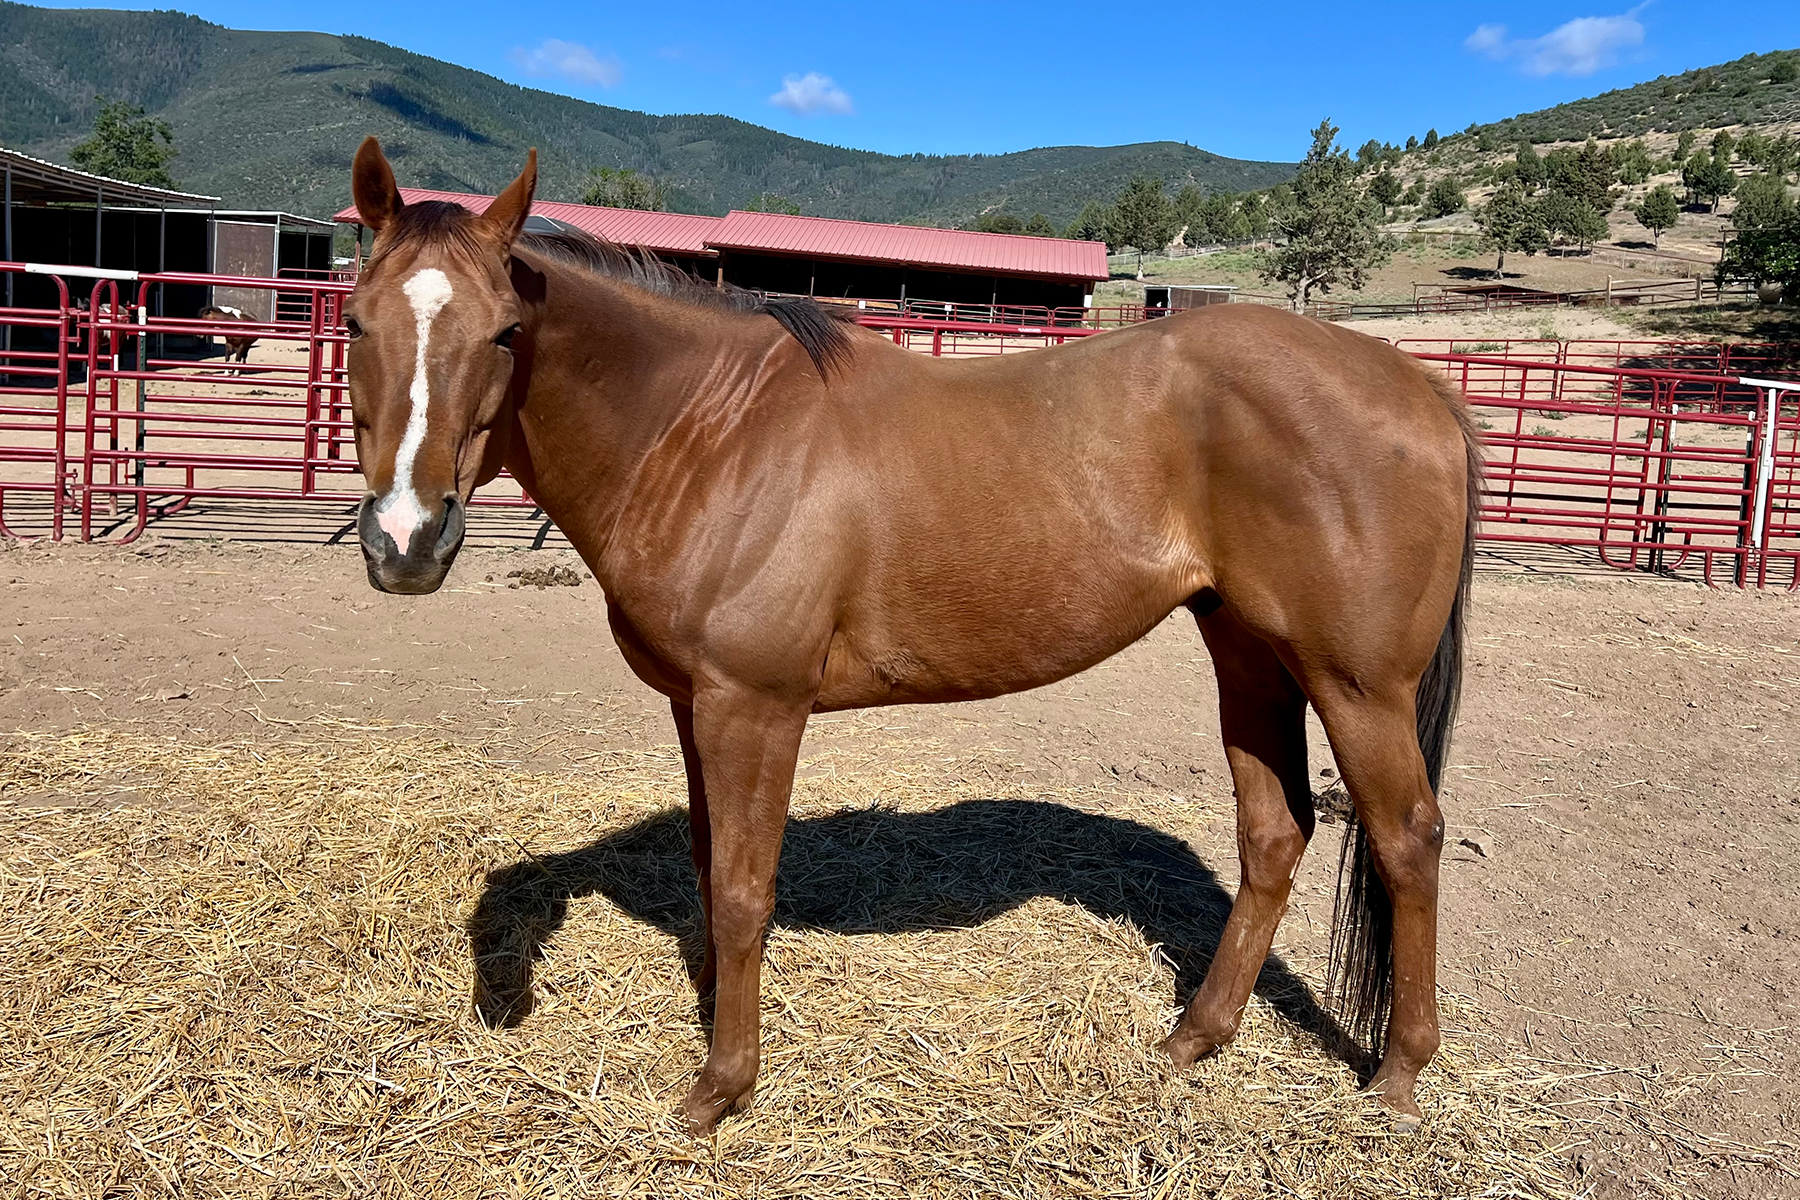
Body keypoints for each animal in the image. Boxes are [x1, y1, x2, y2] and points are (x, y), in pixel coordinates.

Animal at [341, 137, 1481, 1135]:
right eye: (354, 323)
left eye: (504, 333)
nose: (405, 540)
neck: (708, 431)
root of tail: (1417, 386)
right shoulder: (695, 705)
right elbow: (710, 867)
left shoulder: (755, 709)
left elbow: (744, 890)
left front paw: (721, 1088)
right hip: (1247, 652)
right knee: (1274, 833)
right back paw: (1193, 1038)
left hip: (1356, 684)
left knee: (1408, 839)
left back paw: (1397, 1076)